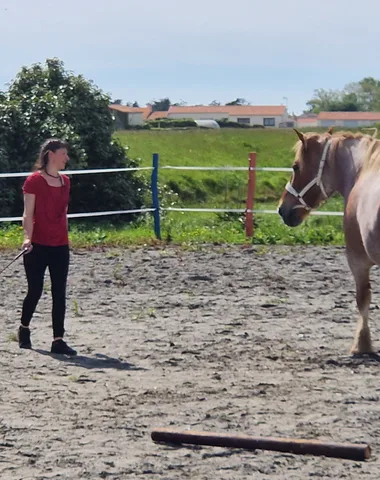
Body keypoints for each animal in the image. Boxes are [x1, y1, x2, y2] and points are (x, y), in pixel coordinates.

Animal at [276, 128, 380, 356]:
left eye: (295, 166)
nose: (282, 209)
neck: (364, 169)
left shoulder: (357, 259)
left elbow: (363, 299)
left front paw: (361, 344)